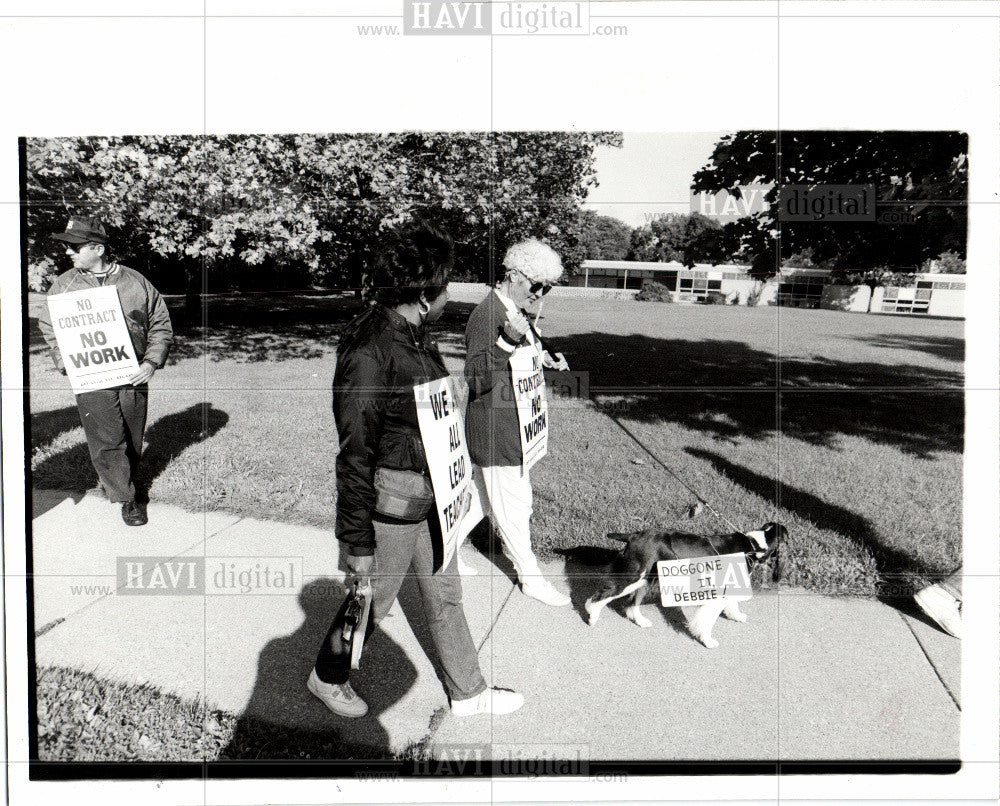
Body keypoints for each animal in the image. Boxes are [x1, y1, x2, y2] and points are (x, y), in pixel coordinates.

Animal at [584, 524, 784, 652]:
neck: (753, 545)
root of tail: (633, 535)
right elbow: (706, 621)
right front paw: (708, 641)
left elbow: (732, 604)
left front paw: (736, 616)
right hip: (635, 575)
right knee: (601, 595)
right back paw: (592, 616)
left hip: (648, 576)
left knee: (632, 603)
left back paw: (640, 621)